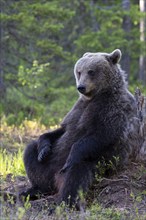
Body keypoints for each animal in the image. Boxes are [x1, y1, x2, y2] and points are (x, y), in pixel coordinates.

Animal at [20, 49, 138, 208]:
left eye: (91, 71)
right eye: (79, 71)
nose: (81, 87)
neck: (96, 96)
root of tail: (55, 177)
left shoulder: (112, 108)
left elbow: (102, 134)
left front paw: (72, 156)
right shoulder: (77, 109)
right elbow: (62, 129)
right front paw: (43, 148)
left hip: (96, 162)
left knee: (76, 174)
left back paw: (66, 201)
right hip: (50, 163)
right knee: (31, 154)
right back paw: (35, 189)